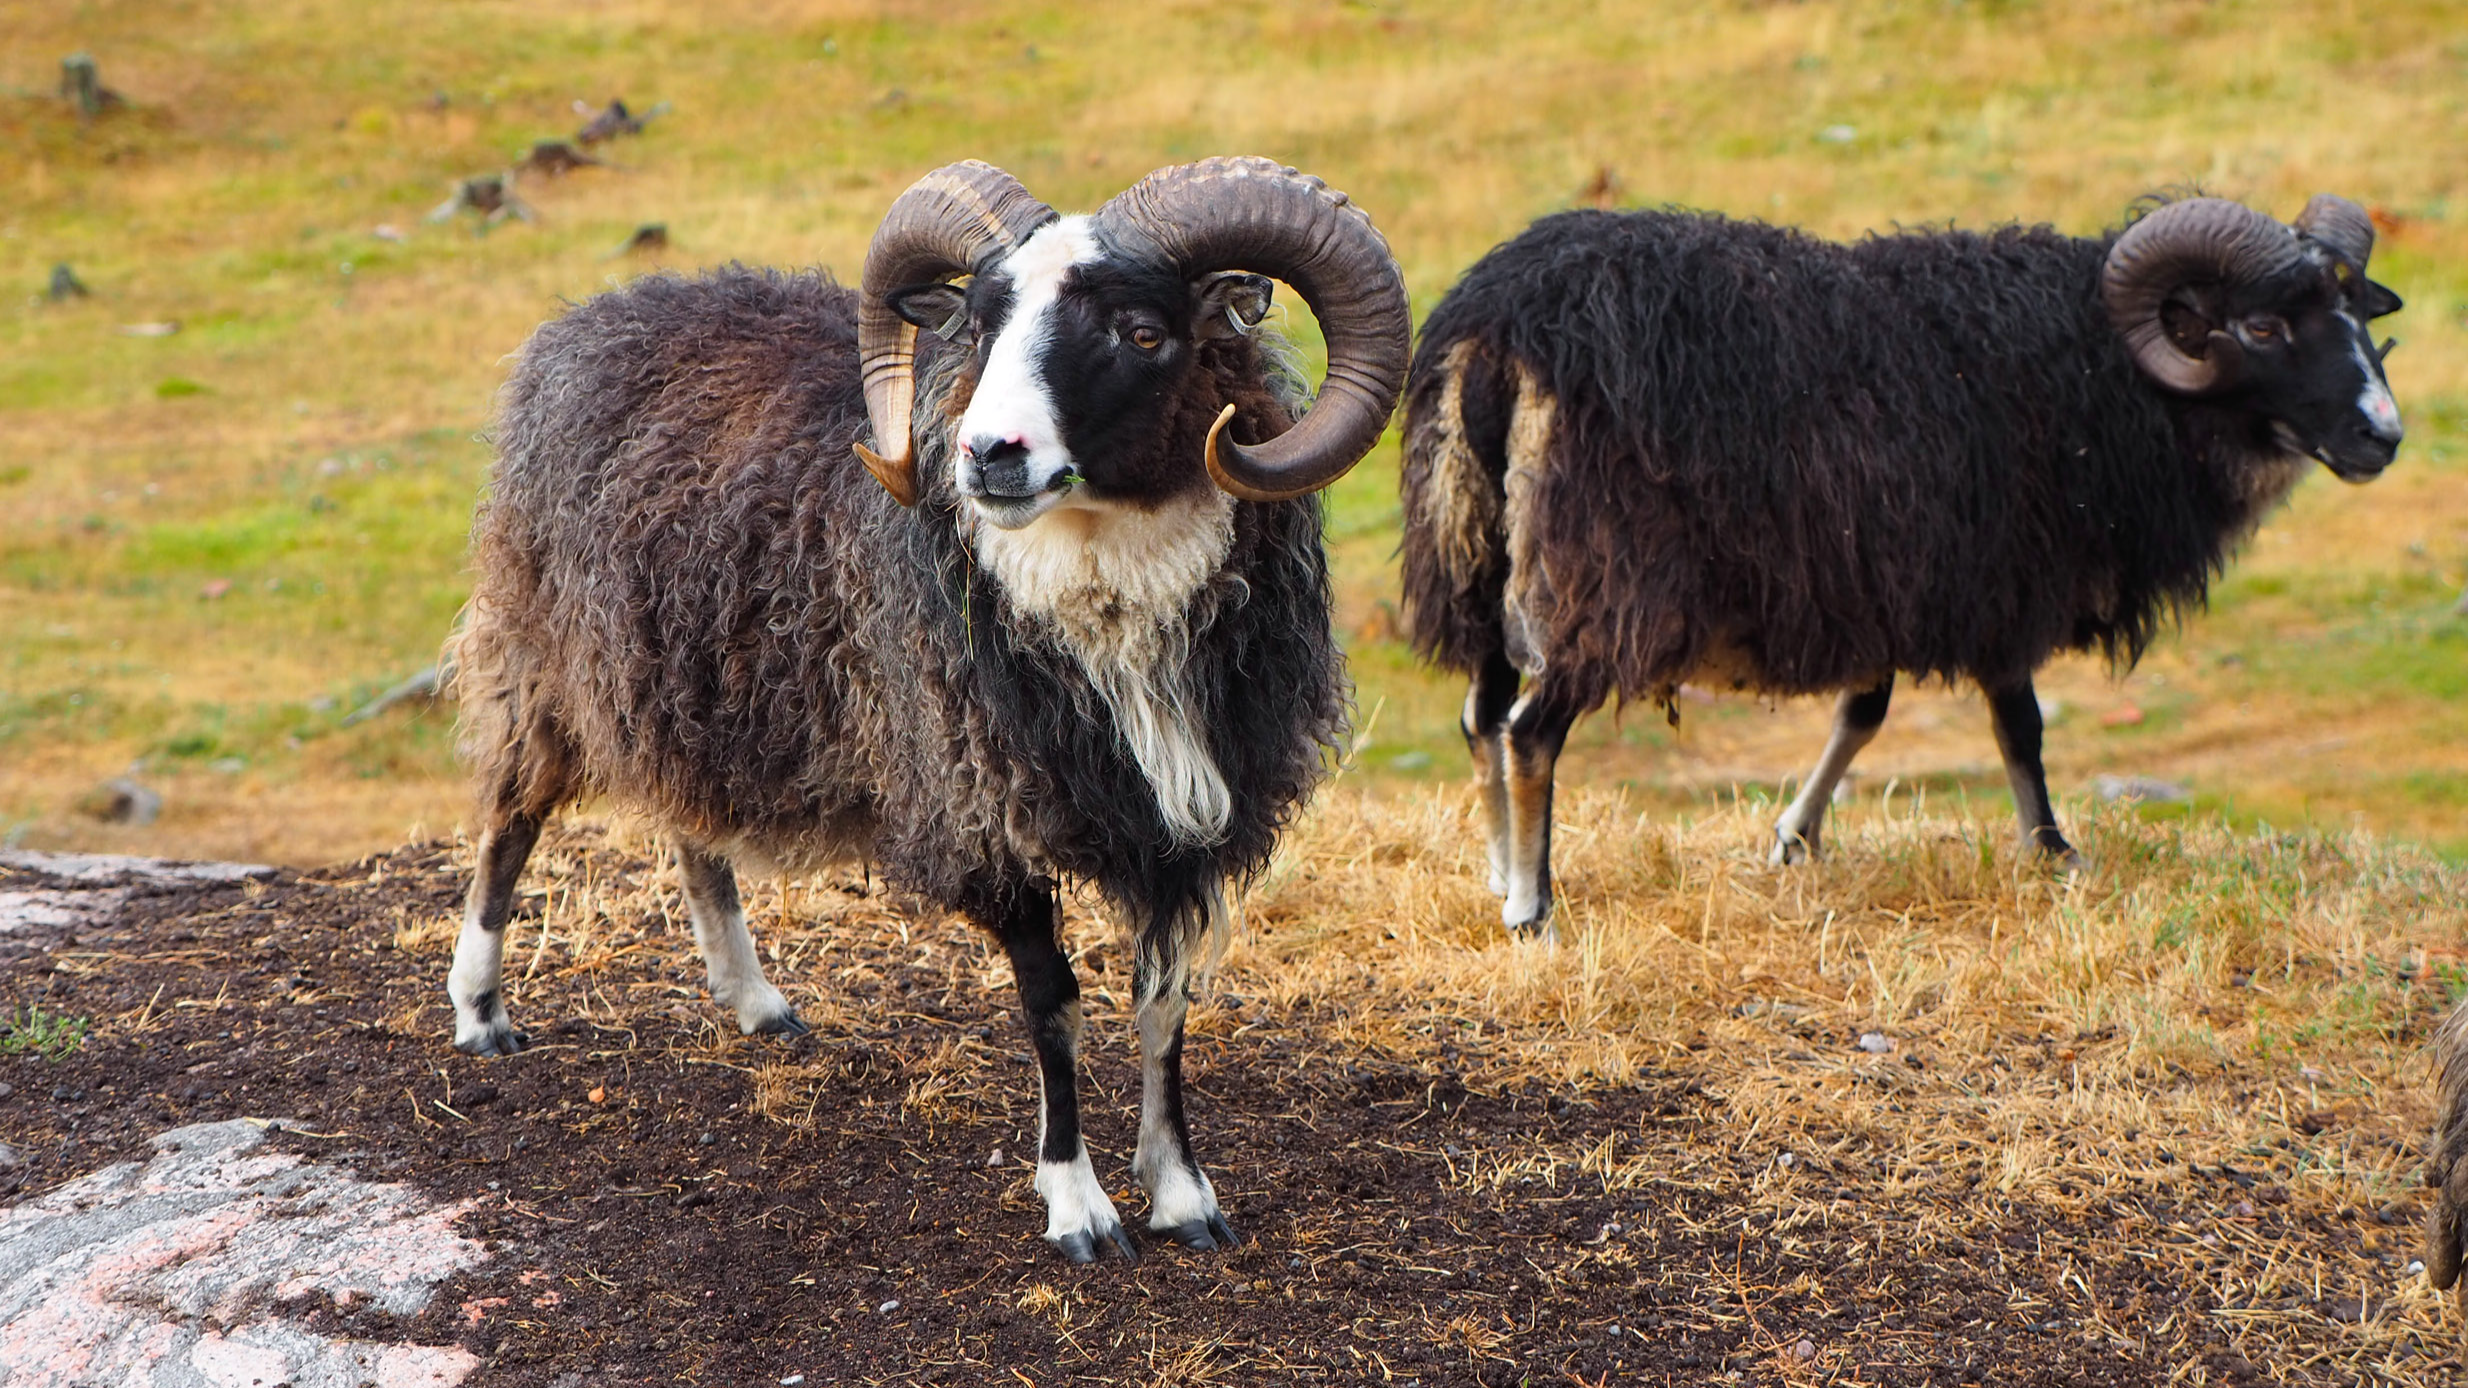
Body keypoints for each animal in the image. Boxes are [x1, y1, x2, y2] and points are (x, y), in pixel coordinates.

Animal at [443, 157, 1410, 1261]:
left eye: (1142, 332)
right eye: (979, 328)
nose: (987, 454)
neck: (1103, 601)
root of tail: (594, 314)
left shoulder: (1190, 822)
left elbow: (1163, 1006)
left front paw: (1181, 1194)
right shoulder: (984, 805)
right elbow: (1052, 1006)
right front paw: (1077, 1207)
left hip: (686, 679)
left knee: (692, 826)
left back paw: (754, 999)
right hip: (543, 656)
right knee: (509, 819)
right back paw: (480, 1012)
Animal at [1399, 194, 2404, 934]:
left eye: (2360, 316)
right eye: (2264, 327)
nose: (2382, 436)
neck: (2103, 370)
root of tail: (1503, 331)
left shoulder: (1883, 578)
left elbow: (1866, 711)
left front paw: (1796, 837)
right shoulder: (2001, 581)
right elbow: (2019, 728)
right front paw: (2053, 851)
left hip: (1475, 550)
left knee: (1481, 715)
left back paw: (1498, 871)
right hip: (1597, 573)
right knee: (1531, 731)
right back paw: (1533, 908)